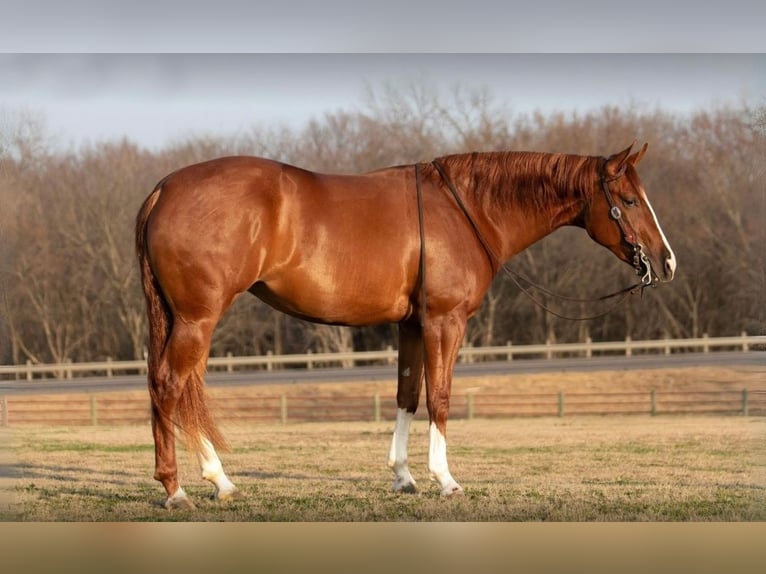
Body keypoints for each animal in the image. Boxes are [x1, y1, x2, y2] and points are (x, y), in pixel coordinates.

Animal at [138, 142, 680, 510]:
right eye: (630, 200)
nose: (667, 263)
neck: (467, 210)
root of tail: (163, 189)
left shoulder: (412, 325)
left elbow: (407, 395)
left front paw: (403, 476)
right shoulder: (444, 321)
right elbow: (440, 398)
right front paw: (445, 478)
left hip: (185, 320)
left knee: (180, 390)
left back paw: (218, 481)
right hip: (197, 319)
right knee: (171, 385)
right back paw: (179, 488)